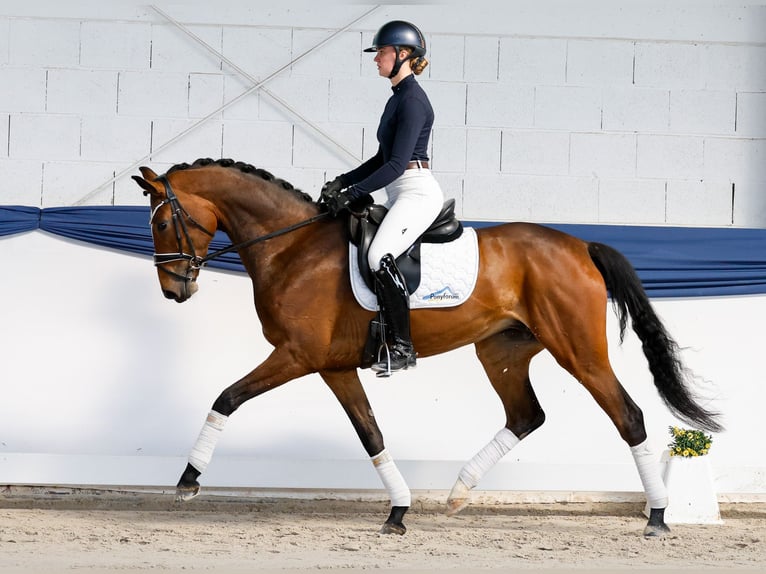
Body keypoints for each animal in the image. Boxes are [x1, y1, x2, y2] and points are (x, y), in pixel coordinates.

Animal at [132, 157, 721, 537]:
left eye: (162, 222)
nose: (174, 290)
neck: (292, 247)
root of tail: (580, 244)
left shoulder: (297, 357)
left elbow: (226, 398)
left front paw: (187, 481)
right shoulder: (333, 367)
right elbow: (371, 434)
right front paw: (398, 511)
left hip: (579, 351)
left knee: (629, 415)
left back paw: (658, 517)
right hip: (502, 352)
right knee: (526, 416)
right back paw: (458, 492)